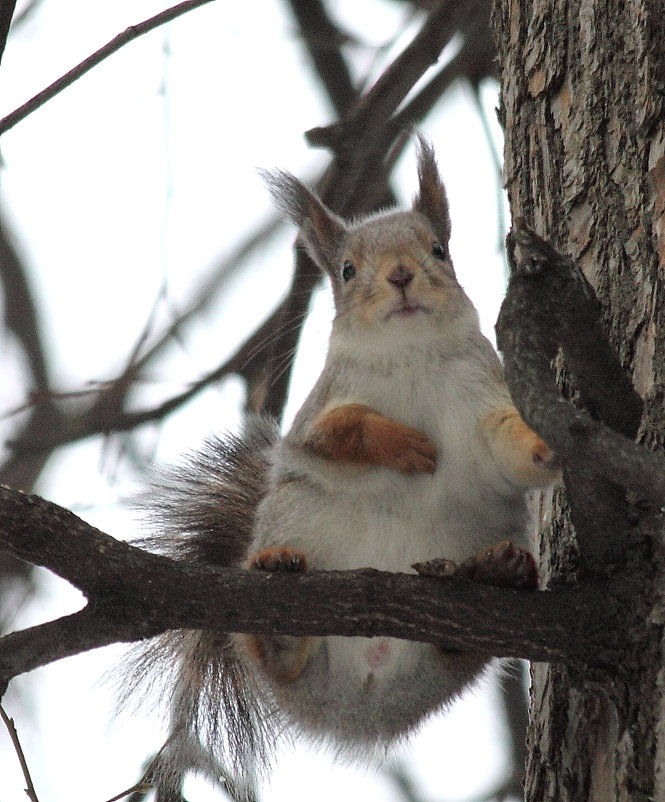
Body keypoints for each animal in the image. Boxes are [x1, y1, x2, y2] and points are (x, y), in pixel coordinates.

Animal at [120, 138, 560, 792]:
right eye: (348, 270)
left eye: (439, 249)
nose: (401, 276)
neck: (410, 354)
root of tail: (360, 701)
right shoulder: (315, 418)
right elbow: (342, 431)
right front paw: (405, 444)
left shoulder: (485, 403)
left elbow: (507, 444)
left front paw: (546, 445)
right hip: (293, 524)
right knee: (272, 650)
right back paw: (276, 589)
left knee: (461, 652)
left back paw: (498, 571)